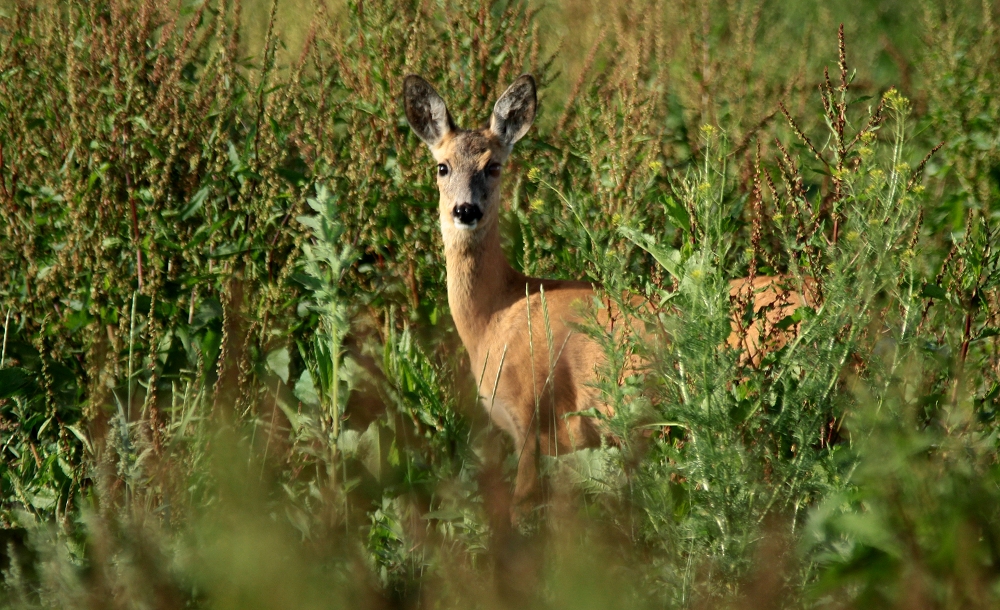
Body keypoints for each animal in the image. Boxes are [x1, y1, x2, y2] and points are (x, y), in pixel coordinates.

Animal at [402, 72, 808, 516]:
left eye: (493, 165)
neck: (495, 315)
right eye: (442, 166)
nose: (465, 211)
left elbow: (522, 505)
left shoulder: (530, 414)